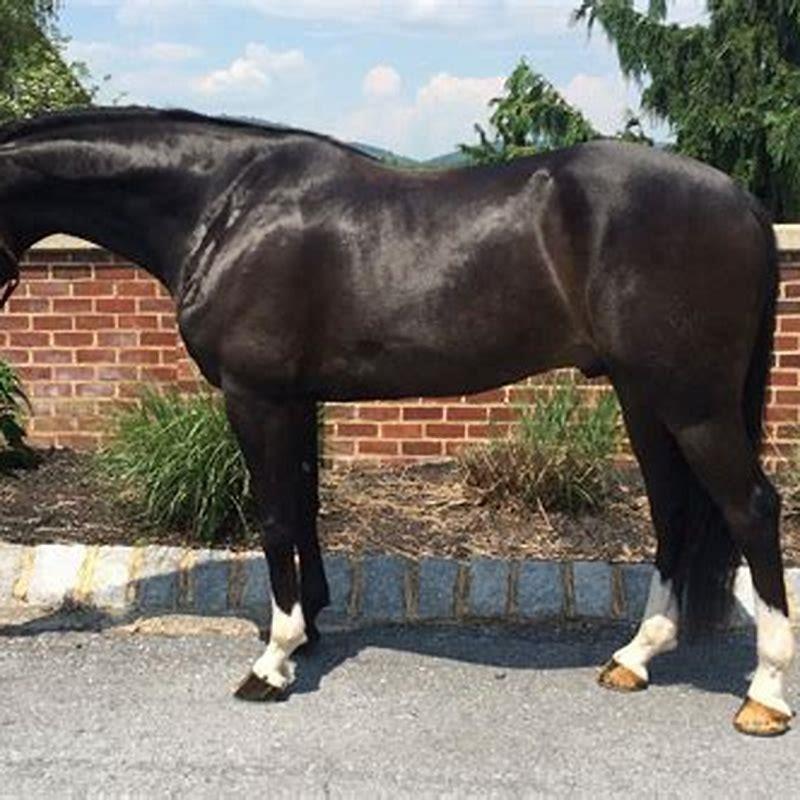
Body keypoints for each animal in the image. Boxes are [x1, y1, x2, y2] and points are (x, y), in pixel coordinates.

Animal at [0, 107, 793, 736]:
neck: (225, 206)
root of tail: (742, 199)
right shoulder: (297, 400)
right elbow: (305, 510)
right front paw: (309, 630)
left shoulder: (255, 396)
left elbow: (276, 519)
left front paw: (273, 662)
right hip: (644, 395)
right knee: (673, 510)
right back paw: (635, 656)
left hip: (694, 403)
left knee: (750, 508)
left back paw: (765, 694)